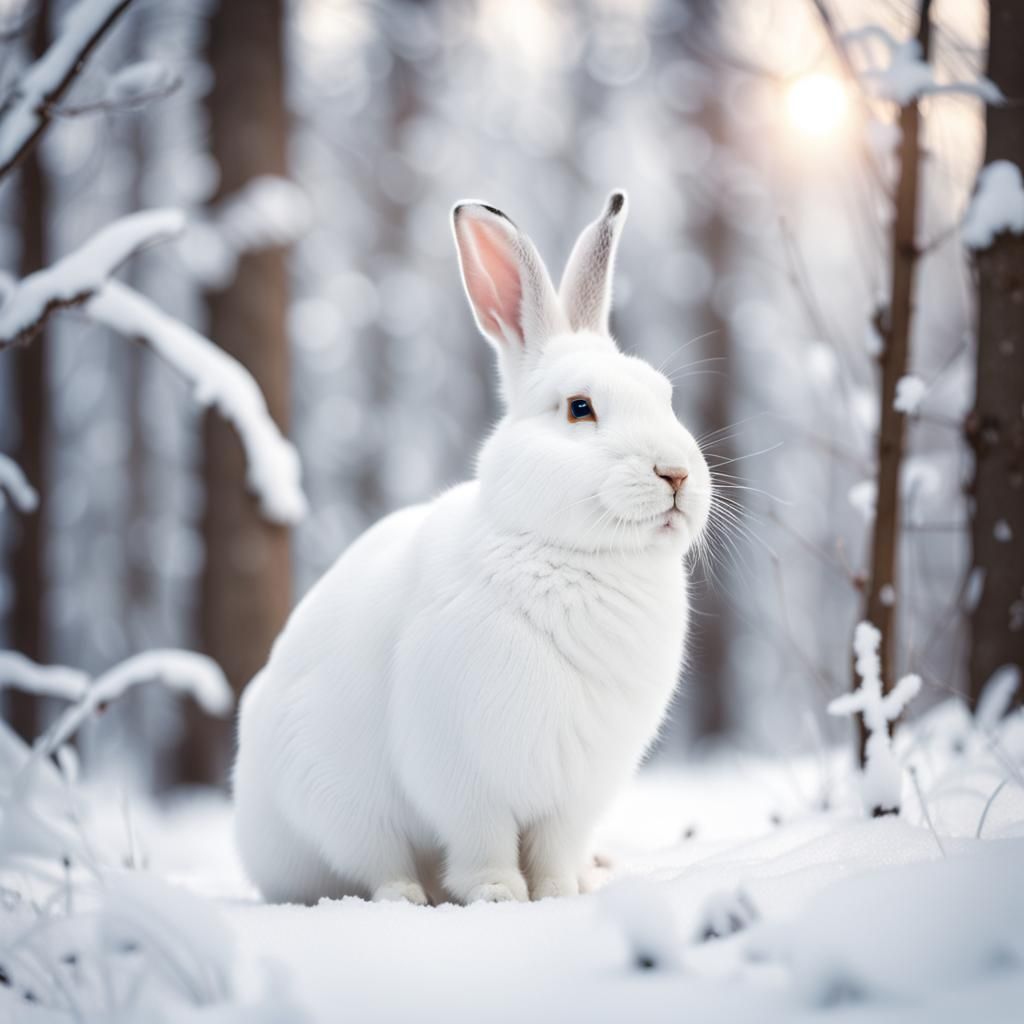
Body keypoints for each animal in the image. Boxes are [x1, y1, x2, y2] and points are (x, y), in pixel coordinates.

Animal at [233, 190, 712, 906]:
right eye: (579, 408)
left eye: (667, 398)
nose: (676, 475)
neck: (569, 553)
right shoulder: (464, 773)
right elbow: (484, 842)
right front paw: (498, 895)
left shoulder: (576, 793)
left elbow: (554, 848)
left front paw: (558, 894)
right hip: (330, 796)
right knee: (375, 862)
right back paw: (407, 896)